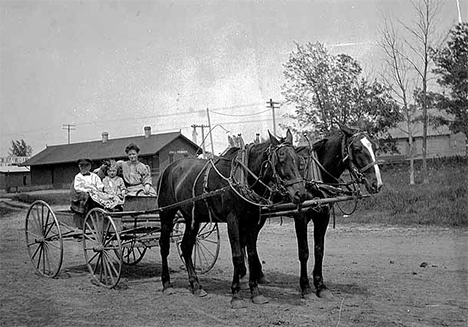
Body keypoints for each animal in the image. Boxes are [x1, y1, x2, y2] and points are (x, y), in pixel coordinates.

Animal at [157, 130, 308, 308]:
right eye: (281, 159)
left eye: (299, 161)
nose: (300, 194)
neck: (244, 178)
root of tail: (169, 169)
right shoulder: (232, 220)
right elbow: (237, 255)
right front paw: (236, 294)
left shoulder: (251, 222)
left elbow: (251, 254)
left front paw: (255, 291)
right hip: (166, 214)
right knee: (164, 246)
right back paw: (167, 284)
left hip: (192, 218)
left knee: (186, 247)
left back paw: (196, 285)